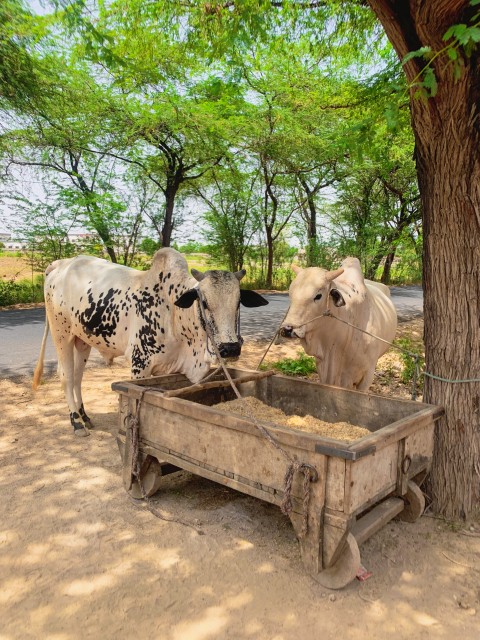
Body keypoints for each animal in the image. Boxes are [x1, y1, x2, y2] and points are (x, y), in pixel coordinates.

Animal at [33, 248, 268, 436]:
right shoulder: (140, 363)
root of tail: (61, 264)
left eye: (238, 302)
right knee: (66, 376)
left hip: (82, 340)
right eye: (204, 301)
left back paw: (85, 417)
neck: (173, 313)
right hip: (61, 333)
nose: (230, 348)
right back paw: (76, 423)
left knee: (77, 377)